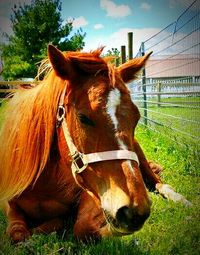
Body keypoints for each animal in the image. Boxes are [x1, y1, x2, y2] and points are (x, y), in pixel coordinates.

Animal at [0, 45, 191, 243]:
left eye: (136, 118)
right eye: (83, 117)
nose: (136, 211)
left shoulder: (92, 195)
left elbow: (83, 228)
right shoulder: (7, 201)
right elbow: (17, 234)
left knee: (158, 183)